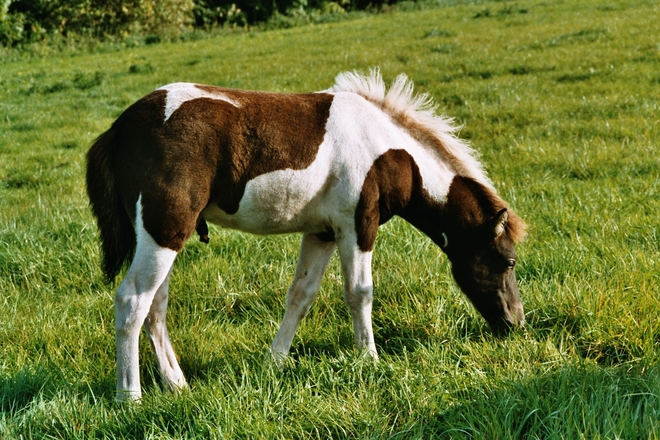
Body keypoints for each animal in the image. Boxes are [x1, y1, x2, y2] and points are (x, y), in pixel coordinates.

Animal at [86, 69, 524, 402]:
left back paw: (177, 385)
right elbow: (359, 293)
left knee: (155, 308)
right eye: (508, 261)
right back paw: (130, 397)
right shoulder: (357, 226)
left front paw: (275, 361)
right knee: (133, 302)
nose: (516, 325)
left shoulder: (322, 233)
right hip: (164, 231)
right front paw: (369, 359)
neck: (385, 149)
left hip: (161, 237)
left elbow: (300, 295)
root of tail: (120, 128)